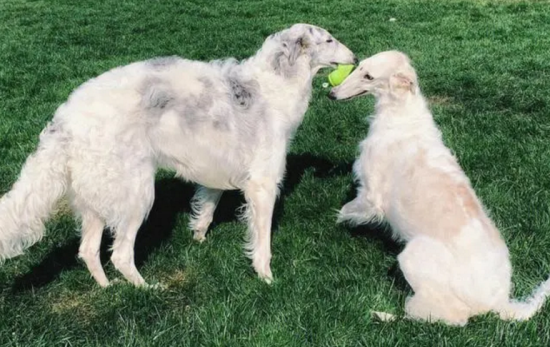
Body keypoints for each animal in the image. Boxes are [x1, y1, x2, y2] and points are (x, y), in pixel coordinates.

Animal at [0, 23, 358, 286]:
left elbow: (206, 209)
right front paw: (266, 276)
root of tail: (67, 118)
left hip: (97, 198)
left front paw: (199, 238)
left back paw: (107, 287)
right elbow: (262, 240)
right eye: (329, 39)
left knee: (88, 251)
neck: (272, 86)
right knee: (120, 254)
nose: (355, 58)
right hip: (138, 193)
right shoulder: (263, 185)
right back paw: (145, 288)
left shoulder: (215, 172)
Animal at [332, 51, 550, 326]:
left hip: (411, 258)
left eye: (369, 76)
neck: (401, 115)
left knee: (442, 317)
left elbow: (344, 211)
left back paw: (381, 314)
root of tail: (499, 301)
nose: (332, 94)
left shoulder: (371, 194)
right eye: (359, 67)